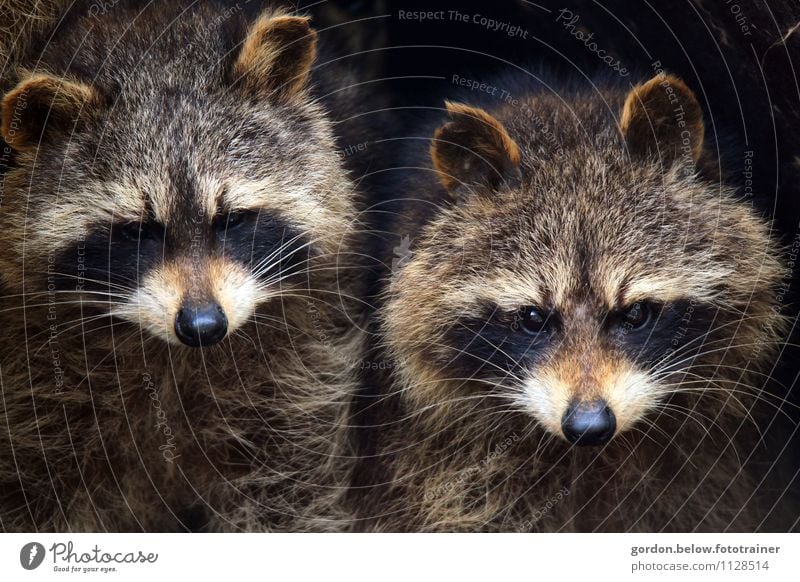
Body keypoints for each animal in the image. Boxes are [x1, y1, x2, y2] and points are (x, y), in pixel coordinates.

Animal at [0, 0, 366, 532]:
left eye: (231, 220)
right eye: (138, 231)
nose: (202, 326)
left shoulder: (297, 365)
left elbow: (286, 485)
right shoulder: (35, 383)